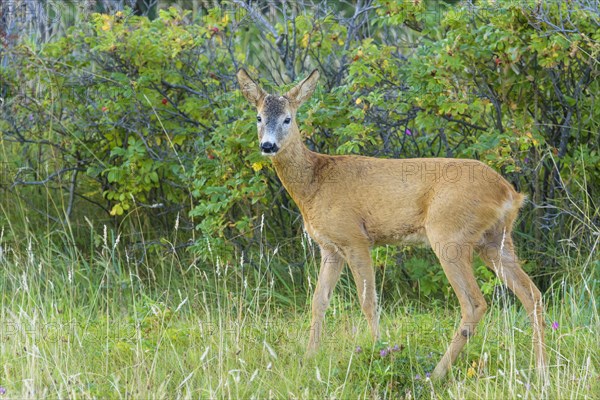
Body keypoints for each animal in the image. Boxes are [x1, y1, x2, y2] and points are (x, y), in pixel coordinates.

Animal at [237, 69, 548, 382]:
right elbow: (318, 300)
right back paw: (540, 370)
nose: (268, 146)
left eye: (288, 118)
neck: (314, 184)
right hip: (495, 241)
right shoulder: (330, 247)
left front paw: (379, 351)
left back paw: (435, 374)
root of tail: (510, 194)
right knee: (532, 294)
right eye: (259, 117)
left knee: (474, 303)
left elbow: (368, 301)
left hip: (450, 235)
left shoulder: (355, 238)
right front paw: (309, 358)